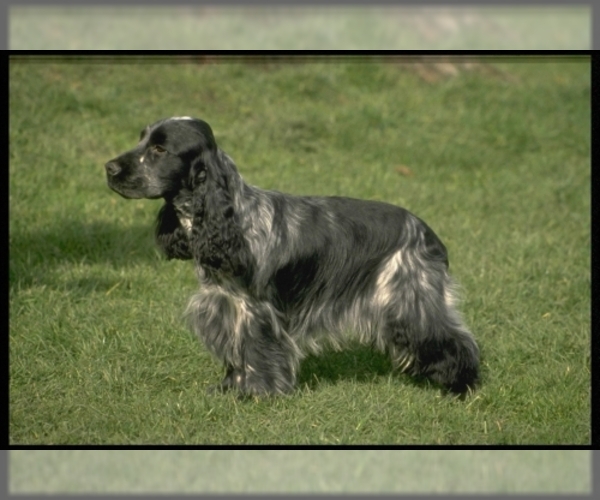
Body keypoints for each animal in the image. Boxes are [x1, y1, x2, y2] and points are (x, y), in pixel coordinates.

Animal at [103, 116, 478, 394]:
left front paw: (258, 394)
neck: (233, 218)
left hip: (409, 298)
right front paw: (228, 389)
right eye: (142, 139)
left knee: (453, 339)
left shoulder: (256, 309)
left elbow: (257, 351)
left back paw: (462, 386)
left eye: (160, 148)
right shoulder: (225, 305)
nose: (109, 167)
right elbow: (235, 352)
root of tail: (427, 232)